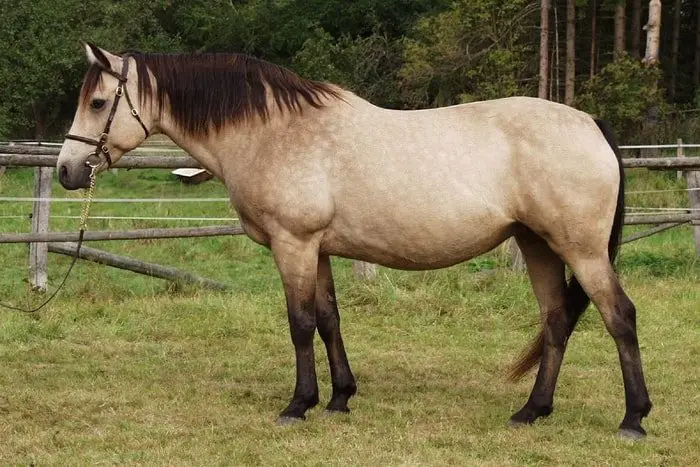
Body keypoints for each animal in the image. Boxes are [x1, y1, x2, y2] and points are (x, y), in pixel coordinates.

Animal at [57, 43, 652, 438]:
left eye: (98, 101)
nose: (66, 170)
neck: (271, 131)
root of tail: (590, 124)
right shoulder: (316, 249)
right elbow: (328, 320)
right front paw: (340, 398)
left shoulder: (293, 244)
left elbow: (300, 324)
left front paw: (298, 405)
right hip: (538, 246)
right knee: (557, 320)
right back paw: (531, 411)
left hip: (580, 249)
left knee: (619, 316)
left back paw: (633, 418)